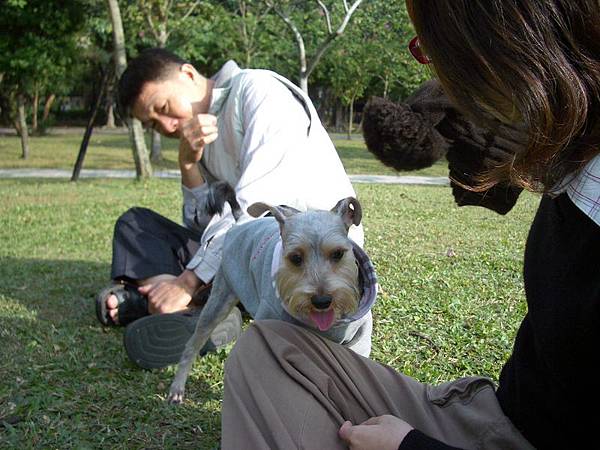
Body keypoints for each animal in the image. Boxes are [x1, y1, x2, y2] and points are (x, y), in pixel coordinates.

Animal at [166, 183, 378, 404]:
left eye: (338, 254)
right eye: (295, 258)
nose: (322, 301)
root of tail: (240, 219)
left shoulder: (358, 342)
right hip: (219, 299)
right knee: (192, 345)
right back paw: (177, 389)